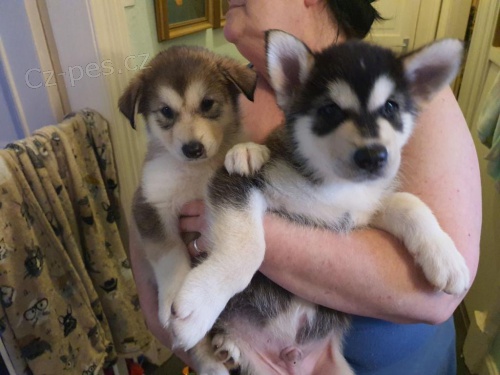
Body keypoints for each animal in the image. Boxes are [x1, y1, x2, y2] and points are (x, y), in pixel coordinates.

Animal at [171, 33, 468, 375]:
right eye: (329, 110)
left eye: (391, 107)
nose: (373, 156)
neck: (334, 185)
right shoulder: (236, 182)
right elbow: (249, 249)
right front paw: (200, 306)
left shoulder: (365, 209)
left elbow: (410, 203)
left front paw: (445, 257)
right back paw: (224, 347)